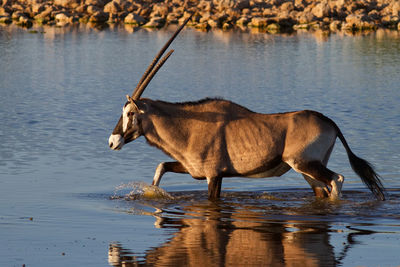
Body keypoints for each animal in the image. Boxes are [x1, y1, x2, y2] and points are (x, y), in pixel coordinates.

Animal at [108, 15, 386, 201]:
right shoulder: (194, 170)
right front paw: (151, 192)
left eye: (130, 113)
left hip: (306, 163)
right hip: (307, 170)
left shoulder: (213, 175)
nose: (112, 142)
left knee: (337, 180)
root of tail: (329, 122)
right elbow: (160, 166)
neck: (190, 126)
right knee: (324, 190)